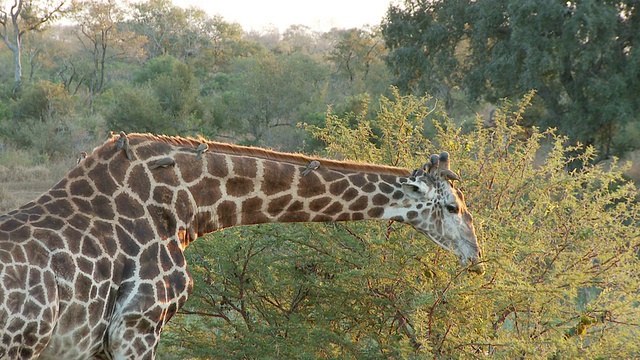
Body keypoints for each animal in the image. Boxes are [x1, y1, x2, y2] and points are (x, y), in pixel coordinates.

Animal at [0, 134, 480, 358]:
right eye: (453, 206)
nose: (476, 257)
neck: (186, 206)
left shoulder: (100, 343)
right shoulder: (137, 327)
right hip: (19, 344)